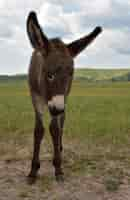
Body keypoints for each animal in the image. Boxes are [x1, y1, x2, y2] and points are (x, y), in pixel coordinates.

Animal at [26, 10, 101, 183]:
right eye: (49, 75)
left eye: (70, 74)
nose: (57, 109)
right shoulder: (35, 97)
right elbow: (38, 130)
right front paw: (33, 171)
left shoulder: (62, 99)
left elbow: (55, 129)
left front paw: (58, 169)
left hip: (65, 99)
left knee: (62, 123)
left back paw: (59, 148)